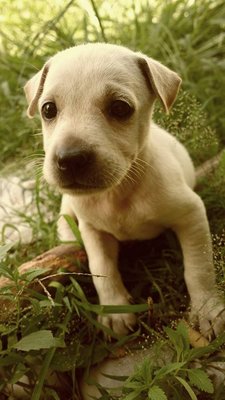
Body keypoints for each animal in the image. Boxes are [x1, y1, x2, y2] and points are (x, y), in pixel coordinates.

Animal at [24, 43, 225, 338]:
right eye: (48, 109)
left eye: (120, 108)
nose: (69, 159)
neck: (118, 192)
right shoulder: (93, 231)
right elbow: (101, 268)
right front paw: (114, 310)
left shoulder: (191, 214)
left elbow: (199, 267)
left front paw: (207, 309)